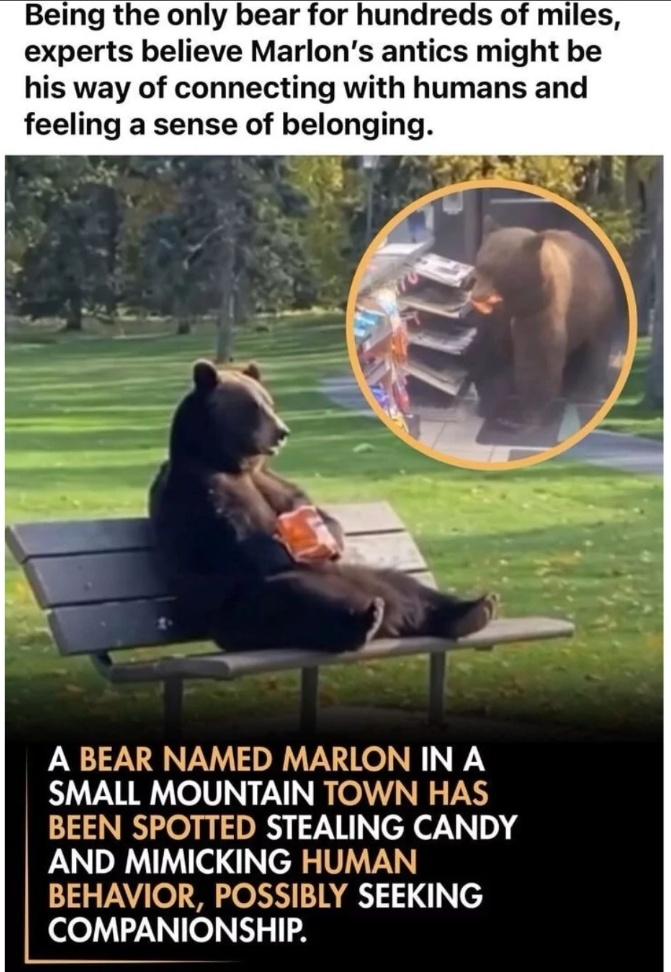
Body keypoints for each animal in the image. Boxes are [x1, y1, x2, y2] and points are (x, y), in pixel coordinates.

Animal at [148, 360, 497, 654]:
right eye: (254, 407)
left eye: (269, 403)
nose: (282, 432)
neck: (229, 460)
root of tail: (395, 618)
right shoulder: (202, 487)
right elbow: (241, 538)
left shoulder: (269, 480)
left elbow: (308, 505)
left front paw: (324, 534)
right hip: (239, 607)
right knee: (293, 598)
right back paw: (364, 621)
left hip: (368, 575)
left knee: (409, 585)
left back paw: (475, 609)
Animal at [467, 216, 616, 428]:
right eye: (480, 265)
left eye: (500, 272)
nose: (478, 296)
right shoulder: (500, 319)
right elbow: (497, 350)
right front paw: (491, 399)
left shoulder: (541, 308)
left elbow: (537, 355)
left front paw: (530, 413)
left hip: (596, 308)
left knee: (596, 347)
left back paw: (588, 391)